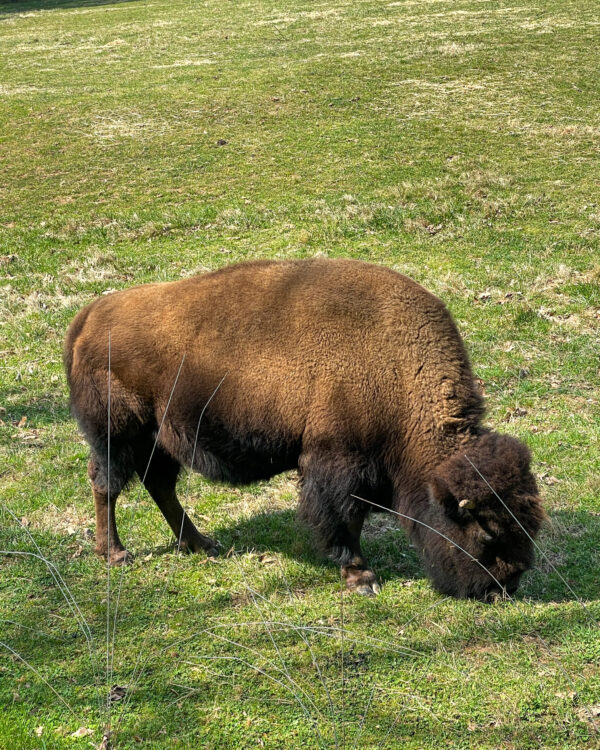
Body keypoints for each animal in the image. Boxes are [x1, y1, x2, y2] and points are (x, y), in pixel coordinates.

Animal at [64, 258, 544, 599]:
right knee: (107, 484)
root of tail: (90, 316)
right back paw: (116, 554)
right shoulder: (337, 463)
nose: (505, 587)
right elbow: (343, 519)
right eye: (486, 532)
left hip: (160, 439)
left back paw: (201, 544)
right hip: (119, 434)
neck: (397, 368)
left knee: (158, 484)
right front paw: (361, 577)